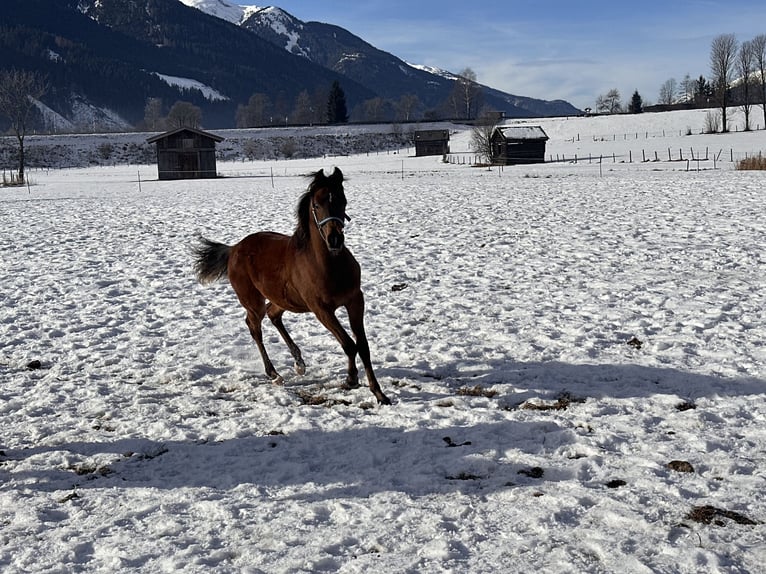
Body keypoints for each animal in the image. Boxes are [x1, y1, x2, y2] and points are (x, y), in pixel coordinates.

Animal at [192, 169, 390, 408]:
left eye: (342, 200)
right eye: (316, 205)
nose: (334, 239)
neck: (328, 264)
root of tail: (234, 249)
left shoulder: (355, 301)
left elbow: (363, 346)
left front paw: (379, 394)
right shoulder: (321, 309)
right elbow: (349, 344)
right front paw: (351, 380)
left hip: (283, 299)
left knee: (273, 315)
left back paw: (299, 362)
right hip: (253, 302)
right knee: (254, 326)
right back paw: (274, 374)